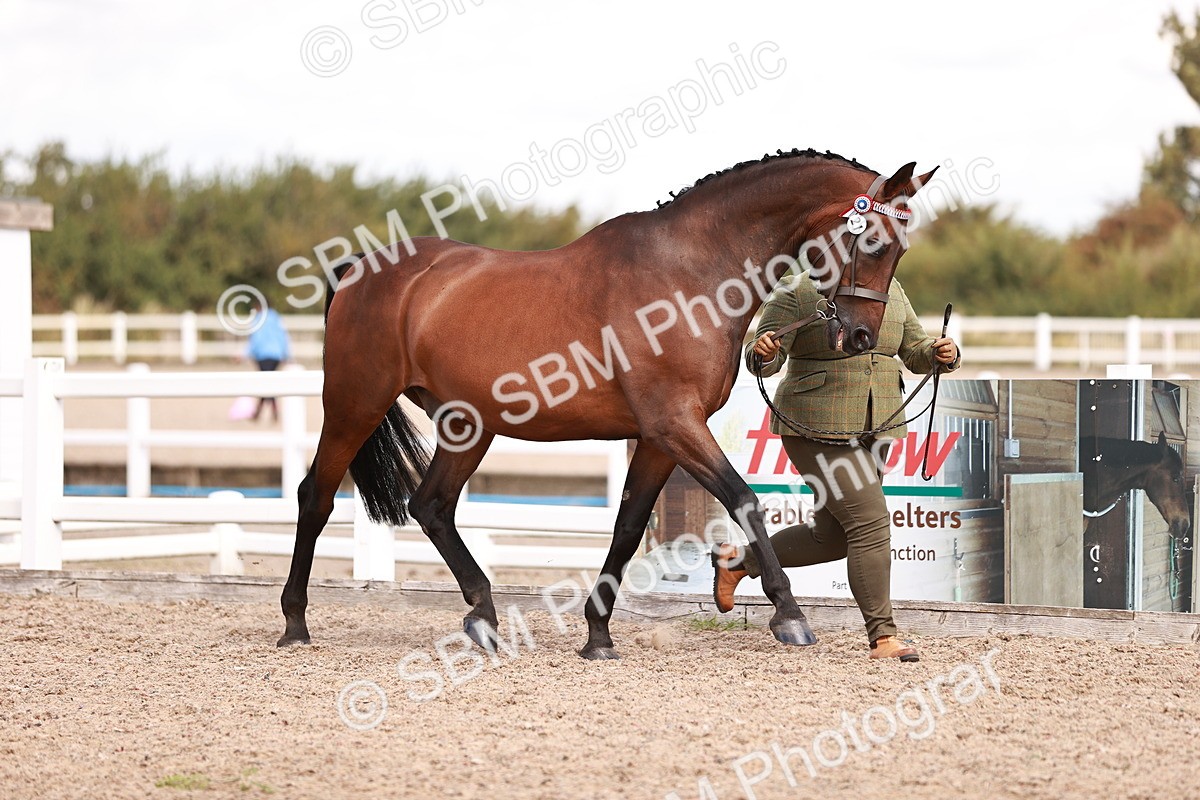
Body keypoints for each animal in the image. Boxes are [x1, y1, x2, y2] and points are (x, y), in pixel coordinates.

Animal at [277, 148, 938, 659]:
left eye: (903, 249)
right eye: (872, 240)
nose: (859, 337)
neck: (688, 274)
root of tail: (360, 269)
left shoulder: (658, 438)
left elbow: (626, 527)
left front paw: (597, 636)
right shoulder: (676, 425)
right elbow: (745, 501)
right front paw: (790, 617)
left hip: (468, 425)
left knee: (432, 505)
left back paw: (484, 619)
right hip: (354, 405)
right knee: (317, 498)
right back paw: (295, 624)